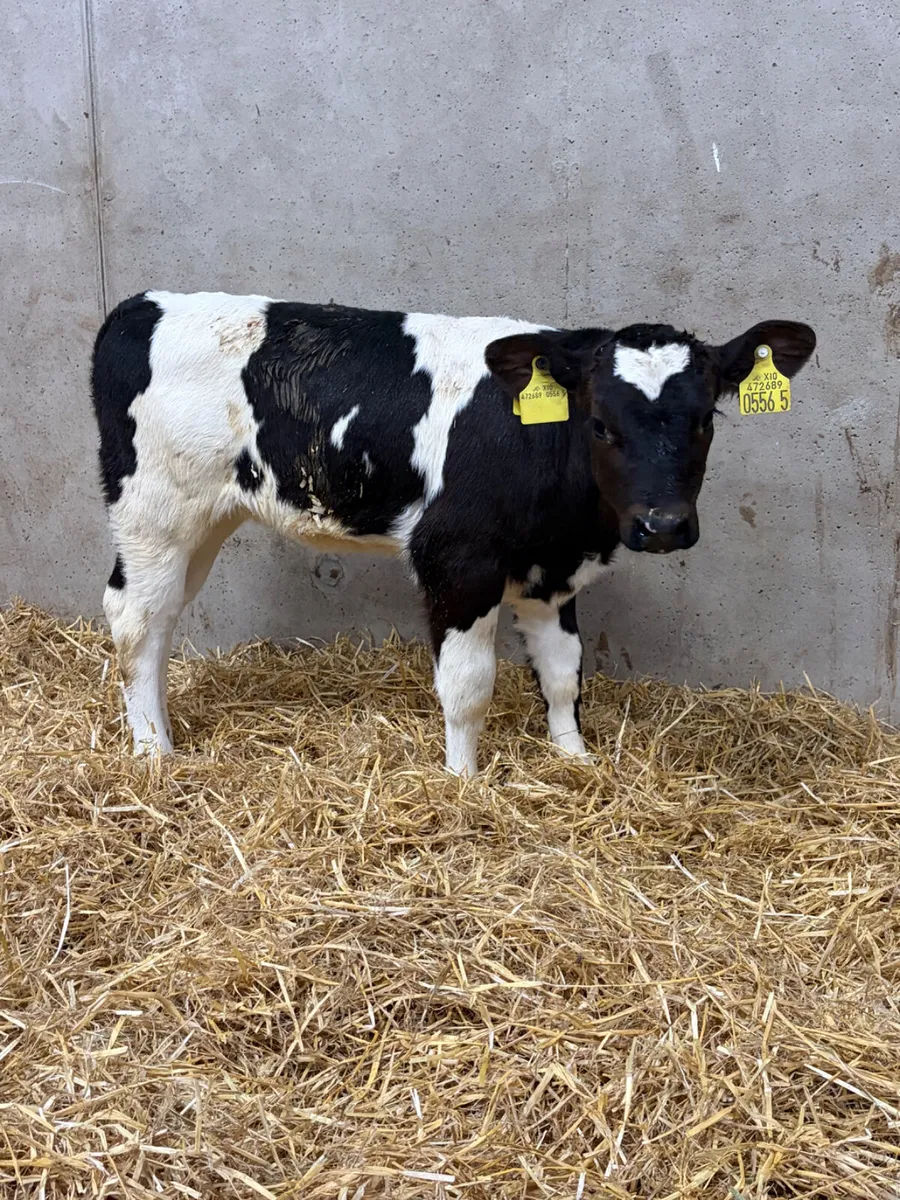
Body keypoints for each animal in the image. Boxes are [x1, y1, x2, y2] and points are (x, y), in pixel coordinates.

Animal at [91, 291, 815, 774]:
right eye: (601, 424)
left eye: (706, 420)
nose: (662, 525)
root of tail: (140, 305)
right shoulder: (458, 561)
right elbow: (469, 687)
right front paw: (463, 780)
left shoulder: (551, 571)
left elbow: (563, 672)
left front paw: (575, 759)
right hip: (156, 511)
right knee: (135, 617)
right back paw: (153, 748)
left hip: (208, 518)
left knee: (163, 615)